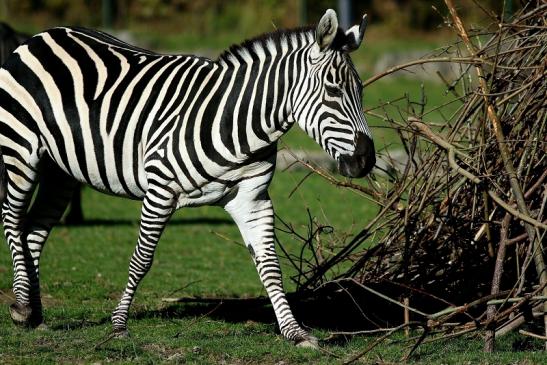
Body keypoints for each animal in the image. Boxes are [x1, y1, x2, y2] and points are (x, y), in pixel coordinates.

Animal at [0, 9, 372, 346]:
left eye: (361, 90)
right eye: (333, 90)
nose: (366, 160)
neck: (239, 123)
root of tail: (42, 35)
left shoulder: (252, 199)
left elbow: (269, 265)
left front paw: (296, 333)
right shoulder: (159, 190)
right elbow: (141, 260)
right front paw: (119, 325)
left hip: (60, 170)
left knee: (33, 231)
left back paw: (34, 315)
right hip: (20, 151)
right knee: (12, 220)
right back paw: (21, 307)